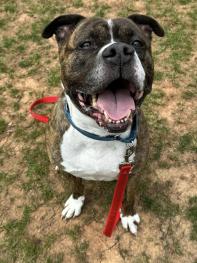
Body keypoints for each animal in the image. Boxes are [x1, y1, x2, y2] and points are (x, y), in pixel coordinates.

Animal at [42, 13, 164, 236]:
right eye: (86, 44)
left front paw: (127, 215)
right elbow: (76, 186)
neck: (99, 135)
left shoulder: (133, 173)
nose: (120, 51)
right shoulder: (69, 170)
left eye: (136, 43)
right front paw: (75, 202)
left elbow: (129, 196)